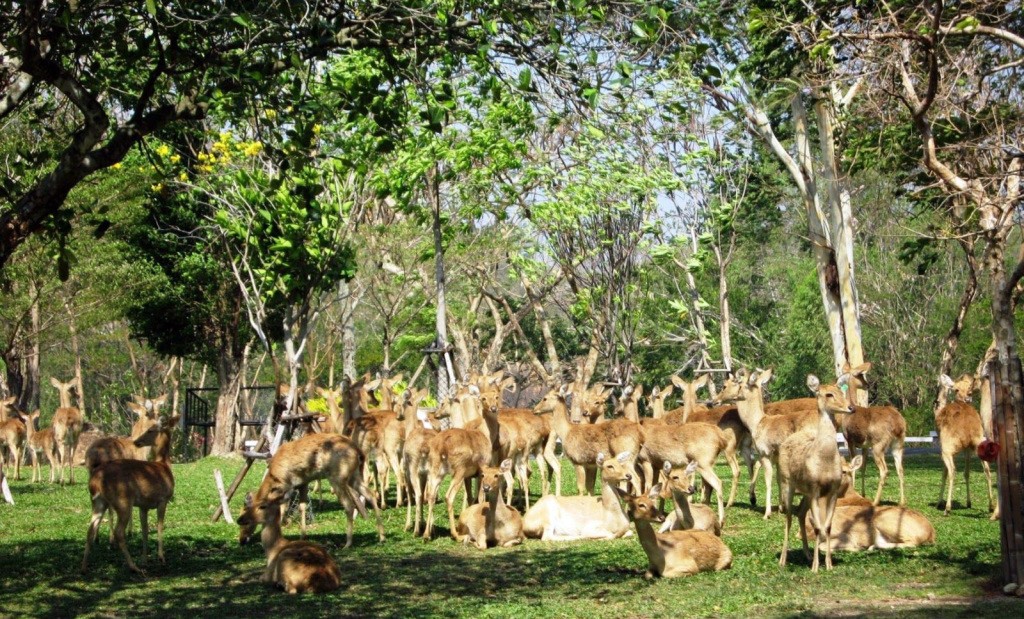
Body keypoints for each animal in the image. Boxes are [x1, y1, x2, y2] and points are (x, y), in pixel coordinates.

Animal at [80, 414, 179, 573]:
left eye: (151, 430)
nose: (136, 441)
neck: (163, 465)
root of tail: (96, 479)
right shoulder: (163, 499)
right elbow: (159, 526)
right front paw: (161, 557)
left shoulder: (143, 505)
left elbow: (145, 530)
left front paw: (145, 559)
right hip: (122, 500)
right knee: (119, 532)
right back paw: (133, 566)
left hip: (98, 501)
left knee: (90, 530)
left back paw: (84, 567)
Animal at [237, 432, 385, 549]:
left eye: (246, 521)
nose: (241, 540)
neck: (274, 476)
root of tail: (359, 452)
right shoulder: (303, 483)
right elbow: (302, 506)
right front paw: (303, 536)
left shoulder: (287, 485)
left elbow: (282, 507)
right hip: (354, 476)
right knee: (370, 494)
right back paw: (381, 537)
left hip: (337, 477)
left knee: (349, 504)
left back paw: (348, 543)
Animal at [774, 368, 856, 573]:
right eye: (828, 394)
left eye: (842, 392)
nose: (851, 408)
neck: (824, 461)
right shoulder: (814, 487)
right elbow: (819, 527)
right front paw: (816, 567)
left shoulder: (831, 490)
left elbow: (827, 526)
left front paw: (828, 564)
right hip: (787, 483)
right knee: (788, 516)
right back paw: (783, 559)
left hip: (805, 493)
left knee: (800, 513)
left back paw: (807, 554)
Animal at [937, 375, 991, 520]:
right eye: (957, 389)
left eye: (970, 390)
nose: (968, 396)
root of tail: (968, 430)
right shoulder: (968, 450)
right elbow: (967, 473)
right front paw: (968, 502)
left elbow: (944, 473)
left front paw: (939, 502)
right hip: (979, 444)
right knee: (987, 470)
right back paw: (991, 506)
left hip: (947, 448)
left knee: (952, 471)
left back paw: (947, 508)